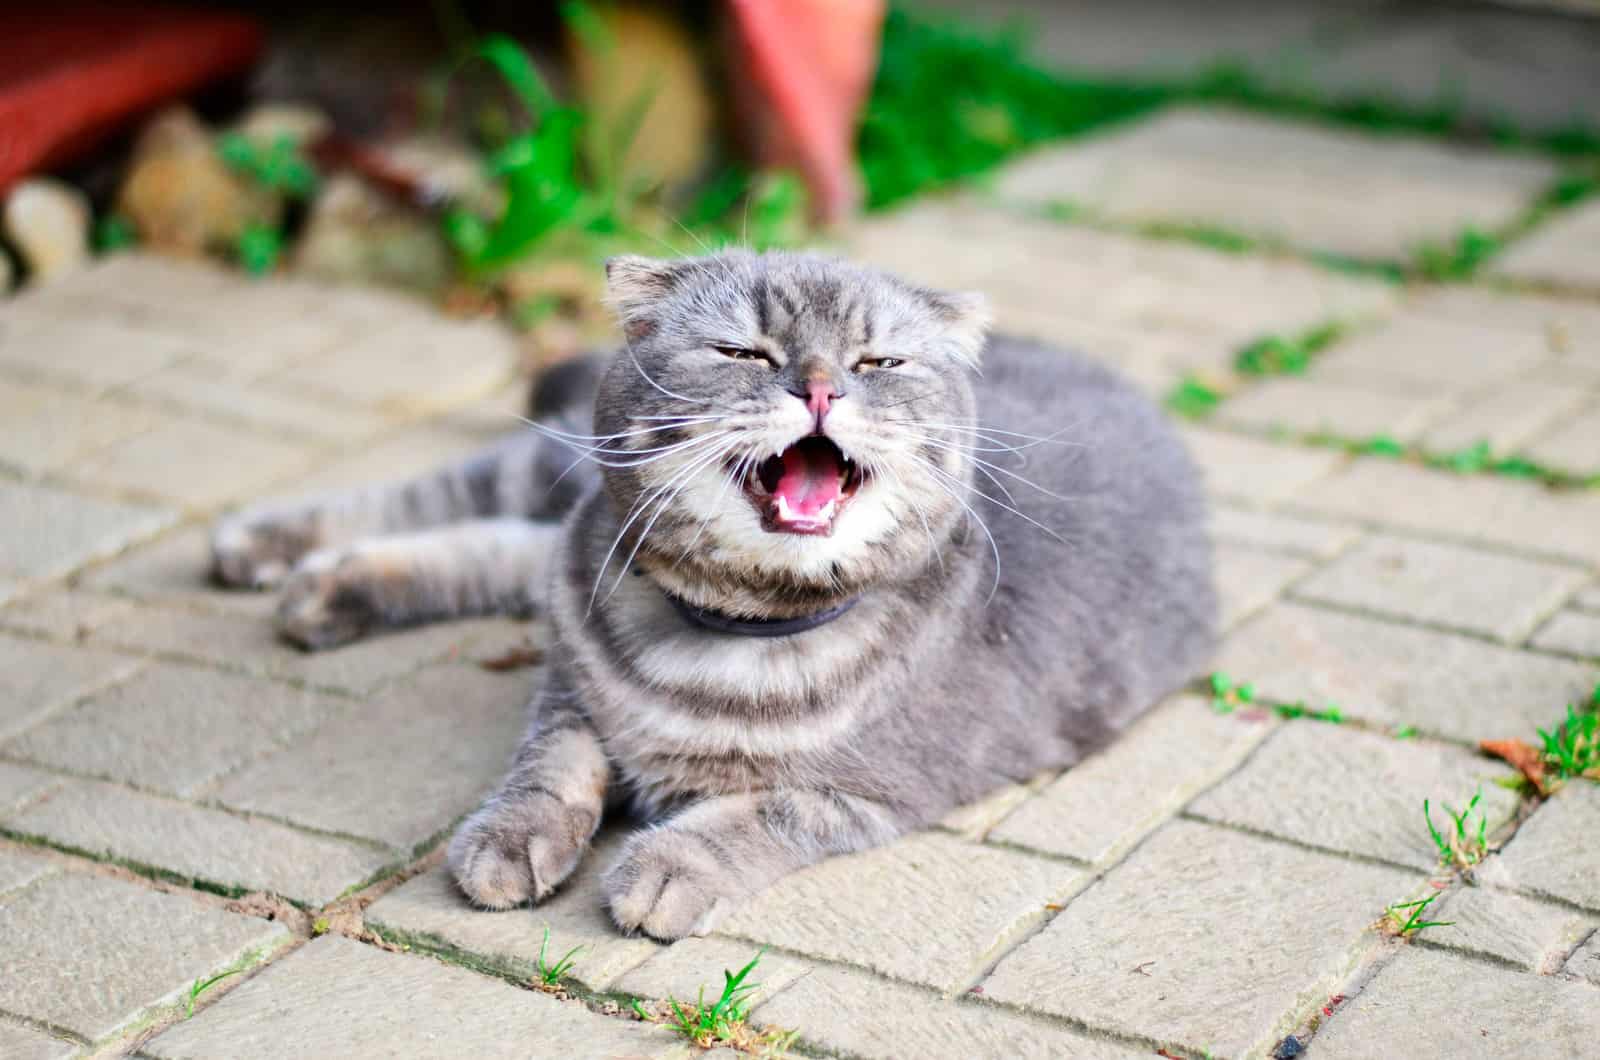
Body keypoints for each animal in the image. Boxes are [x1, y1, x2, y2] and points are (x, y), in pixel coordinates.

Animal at [209, 252, 1209, 941]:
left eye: (878, 362)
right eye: (743, 351)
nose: (819, 387)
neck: (725, 630)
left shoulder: (872, 791)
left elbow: (754, 812)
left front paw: (662, 869)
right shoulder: (567, 693)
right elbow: (548, 765)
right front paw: (512, 838)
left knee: (503, 548)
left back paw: (320, 587)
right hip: (562, 470)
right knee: (458, 501)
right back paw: (274, 551)